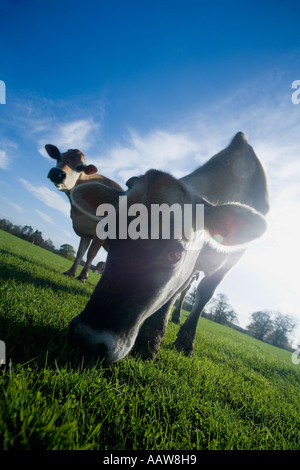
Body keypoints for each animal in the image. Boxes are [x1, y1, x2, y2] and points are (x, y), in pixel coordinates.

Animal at [45, 145, 123, 280]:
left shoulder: (101, 231)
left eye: (80, 167)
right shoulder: (85, 230)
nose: (57, 173)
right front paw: (71, 272)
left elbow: (91, 253)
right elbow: (80, 252)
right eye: (59, 157)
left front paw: (83, 275)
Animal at [67, 133, 268, 364]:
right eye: (108, 232)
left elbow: (204, 293)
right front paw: (150, 340)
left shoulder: (229, 262)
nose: (86, 339)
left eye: (175, 254)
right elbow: (173, 293)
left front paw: (184, 342)